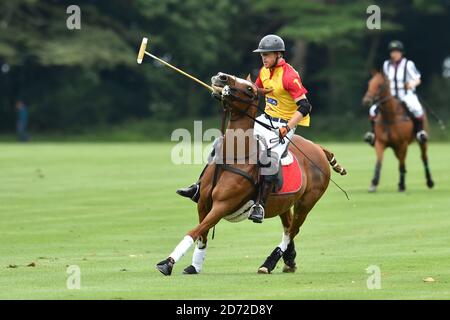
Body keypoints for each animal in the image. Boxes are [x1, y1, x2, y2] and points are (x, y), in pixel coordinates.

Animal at [156, 72, 346, 276]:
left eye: (250, 89)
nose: (221, 77)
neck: (235, 155)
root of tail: (318, 148)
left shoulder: (223, 204)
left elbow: (195, 231)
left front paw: (167, 263)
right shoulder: (203, 202)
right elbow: (202, 235)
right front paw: (194, 266)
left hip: (307, 202)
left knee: (292, 231)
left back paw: (268, 263)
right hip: (285, 202)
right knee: (288, 227)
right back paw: (289, 260)